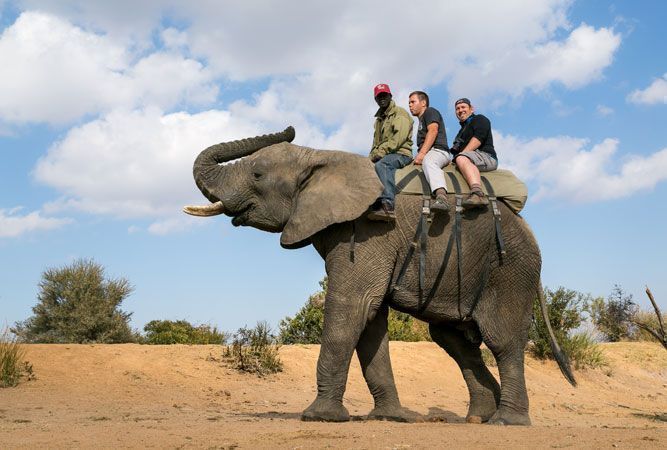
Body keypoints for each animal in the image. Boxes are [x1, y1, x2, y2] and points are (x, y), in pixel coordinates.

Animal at [184, 126, 576, 426]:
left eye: (257, 175)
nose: (290, 128)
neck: (319, 158)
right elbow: (371, 322)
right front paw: (390, 418)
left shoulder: (368, 233)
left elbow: (351, 307)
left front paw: (319, 417)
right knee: (454, 340)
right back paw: (478, 418)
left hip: (509, 269)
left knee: (502, 340)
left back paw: (506, 421)